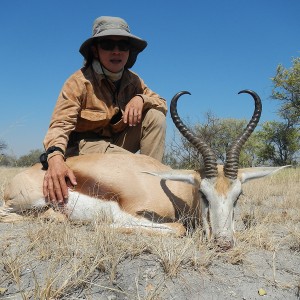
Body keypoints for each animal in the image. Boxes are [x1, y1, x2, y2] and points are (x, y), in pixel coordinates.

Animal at [0, 89, 288, 248]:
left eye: (238, 196)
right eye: (203, 194)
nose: (224, 243)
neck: (173, 192)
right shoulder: (132, 214)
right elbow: (179, 229)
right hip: (28, 202)